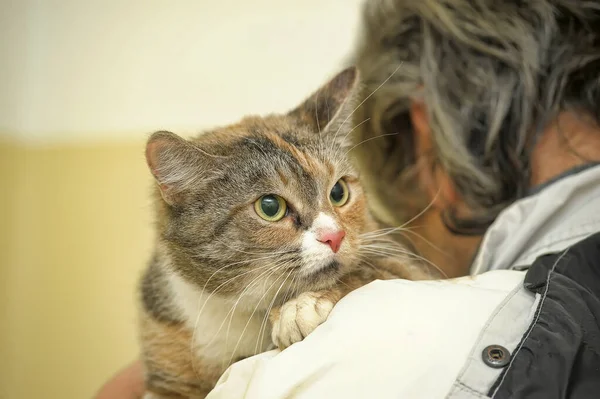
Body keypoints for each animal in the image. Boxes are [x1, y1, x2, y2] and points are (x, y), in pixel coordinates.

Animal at [138, 67, 434, 398]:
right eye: (270, 207)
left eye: (339, 192)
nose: (334, 236)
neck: (239, 311)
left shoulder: (406, 262)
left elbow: (367, 272)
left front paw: (299, 307)